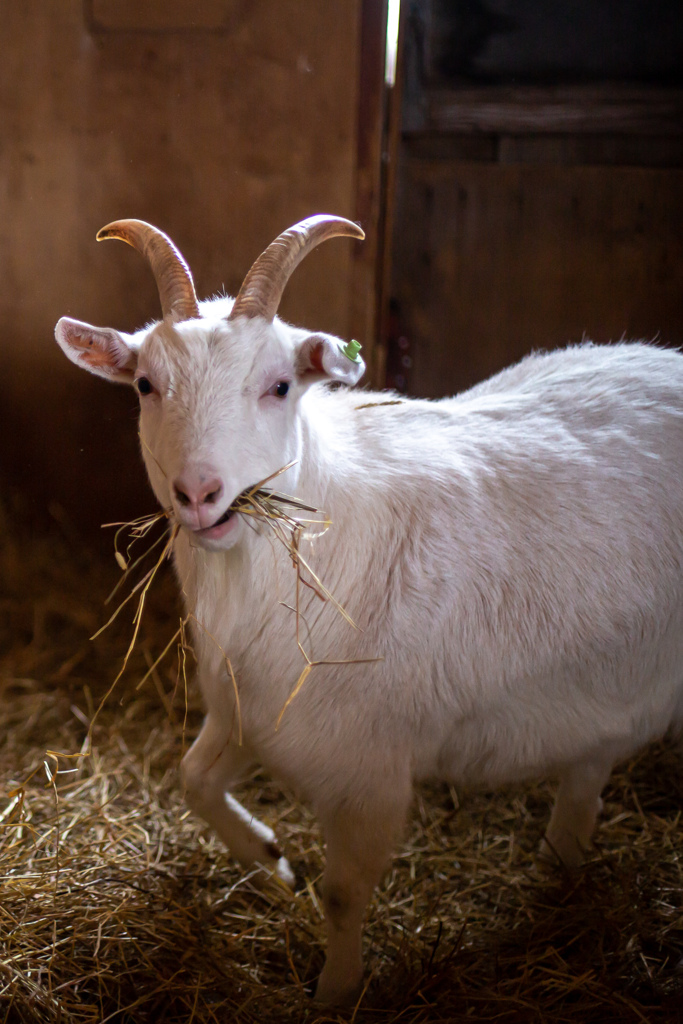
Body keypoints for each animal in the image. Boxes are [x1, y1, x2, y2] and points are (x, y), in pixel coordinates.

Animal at [54, 216, 683, 1007]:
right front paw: (271, 861)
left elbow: (343, 894)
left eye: (280, 385)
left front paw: (333, 993)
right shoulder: (248, 711)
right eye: (144, 384)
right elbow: (193, 781)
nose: (198, 492)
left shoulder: (368, 773)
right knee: (587, 773)